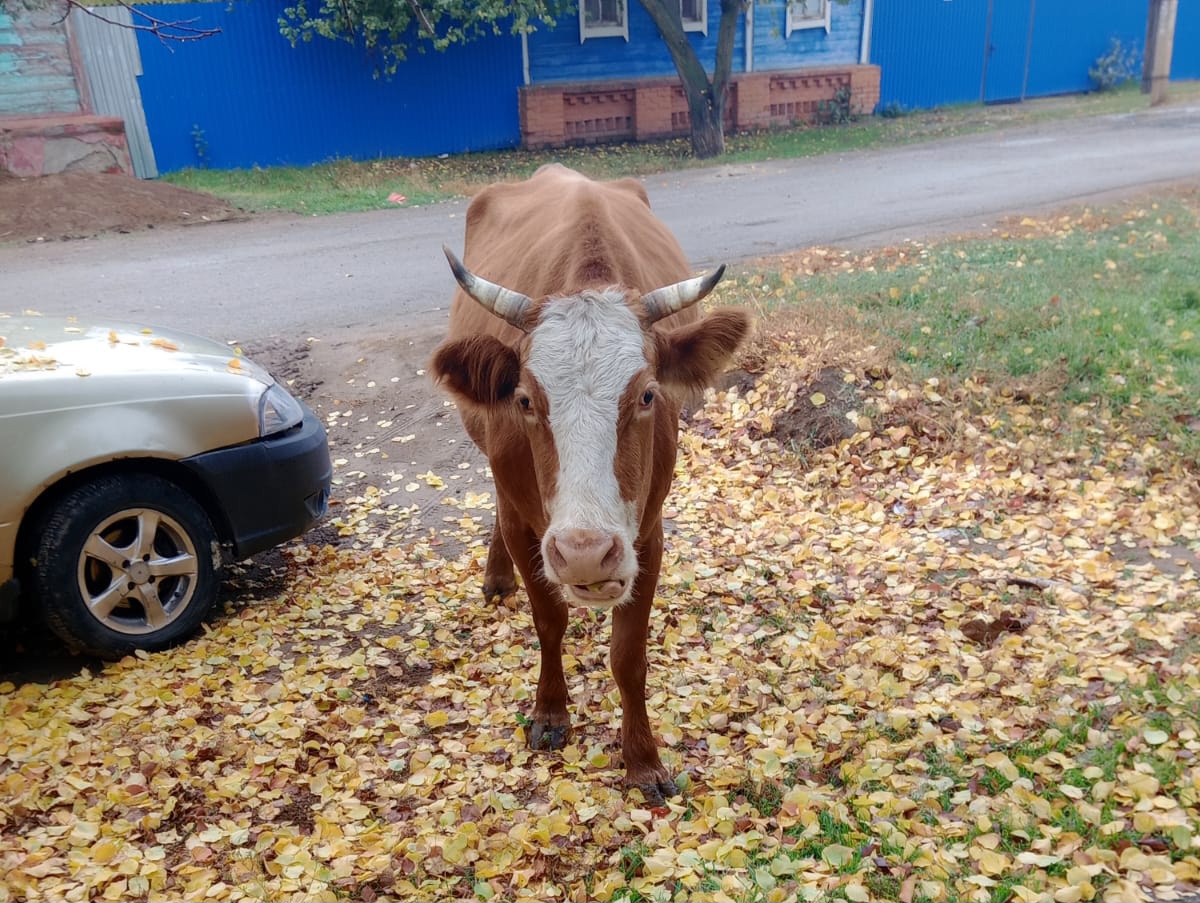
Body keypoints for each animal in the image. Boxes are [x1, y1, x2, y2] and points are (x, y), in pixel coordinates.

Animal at [432, 164, 748, 802]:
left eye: (648, 394)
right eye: (525, 400)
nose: (583, 555)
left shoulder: (647, 532)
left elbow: (628, 656)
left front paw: (643, 759)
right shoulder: (527, 522)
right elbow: (548, 621)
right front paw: (551, 713)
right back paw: (496, 577)